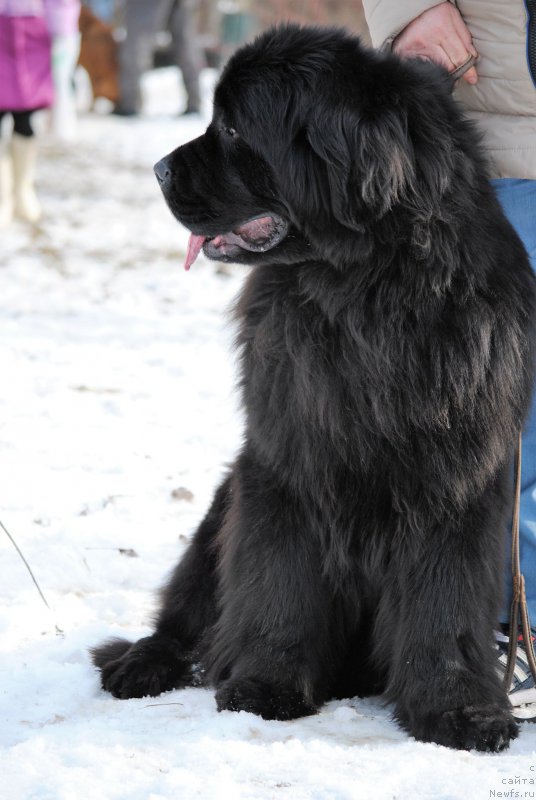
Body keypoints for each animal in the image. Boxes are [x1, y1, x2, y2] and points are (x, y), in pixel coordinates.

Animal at [93, 23, 536, 752]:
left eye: (235, 129)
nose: (158, 168)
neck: (363, 292)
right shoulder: (285, 462)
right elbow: (280, 576)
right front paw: (266, 685)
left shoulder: (461, 476)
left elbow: (445, 597)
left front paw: (459, 710)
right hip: (217, 512)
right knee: (184, 617)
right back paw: (141, 663)